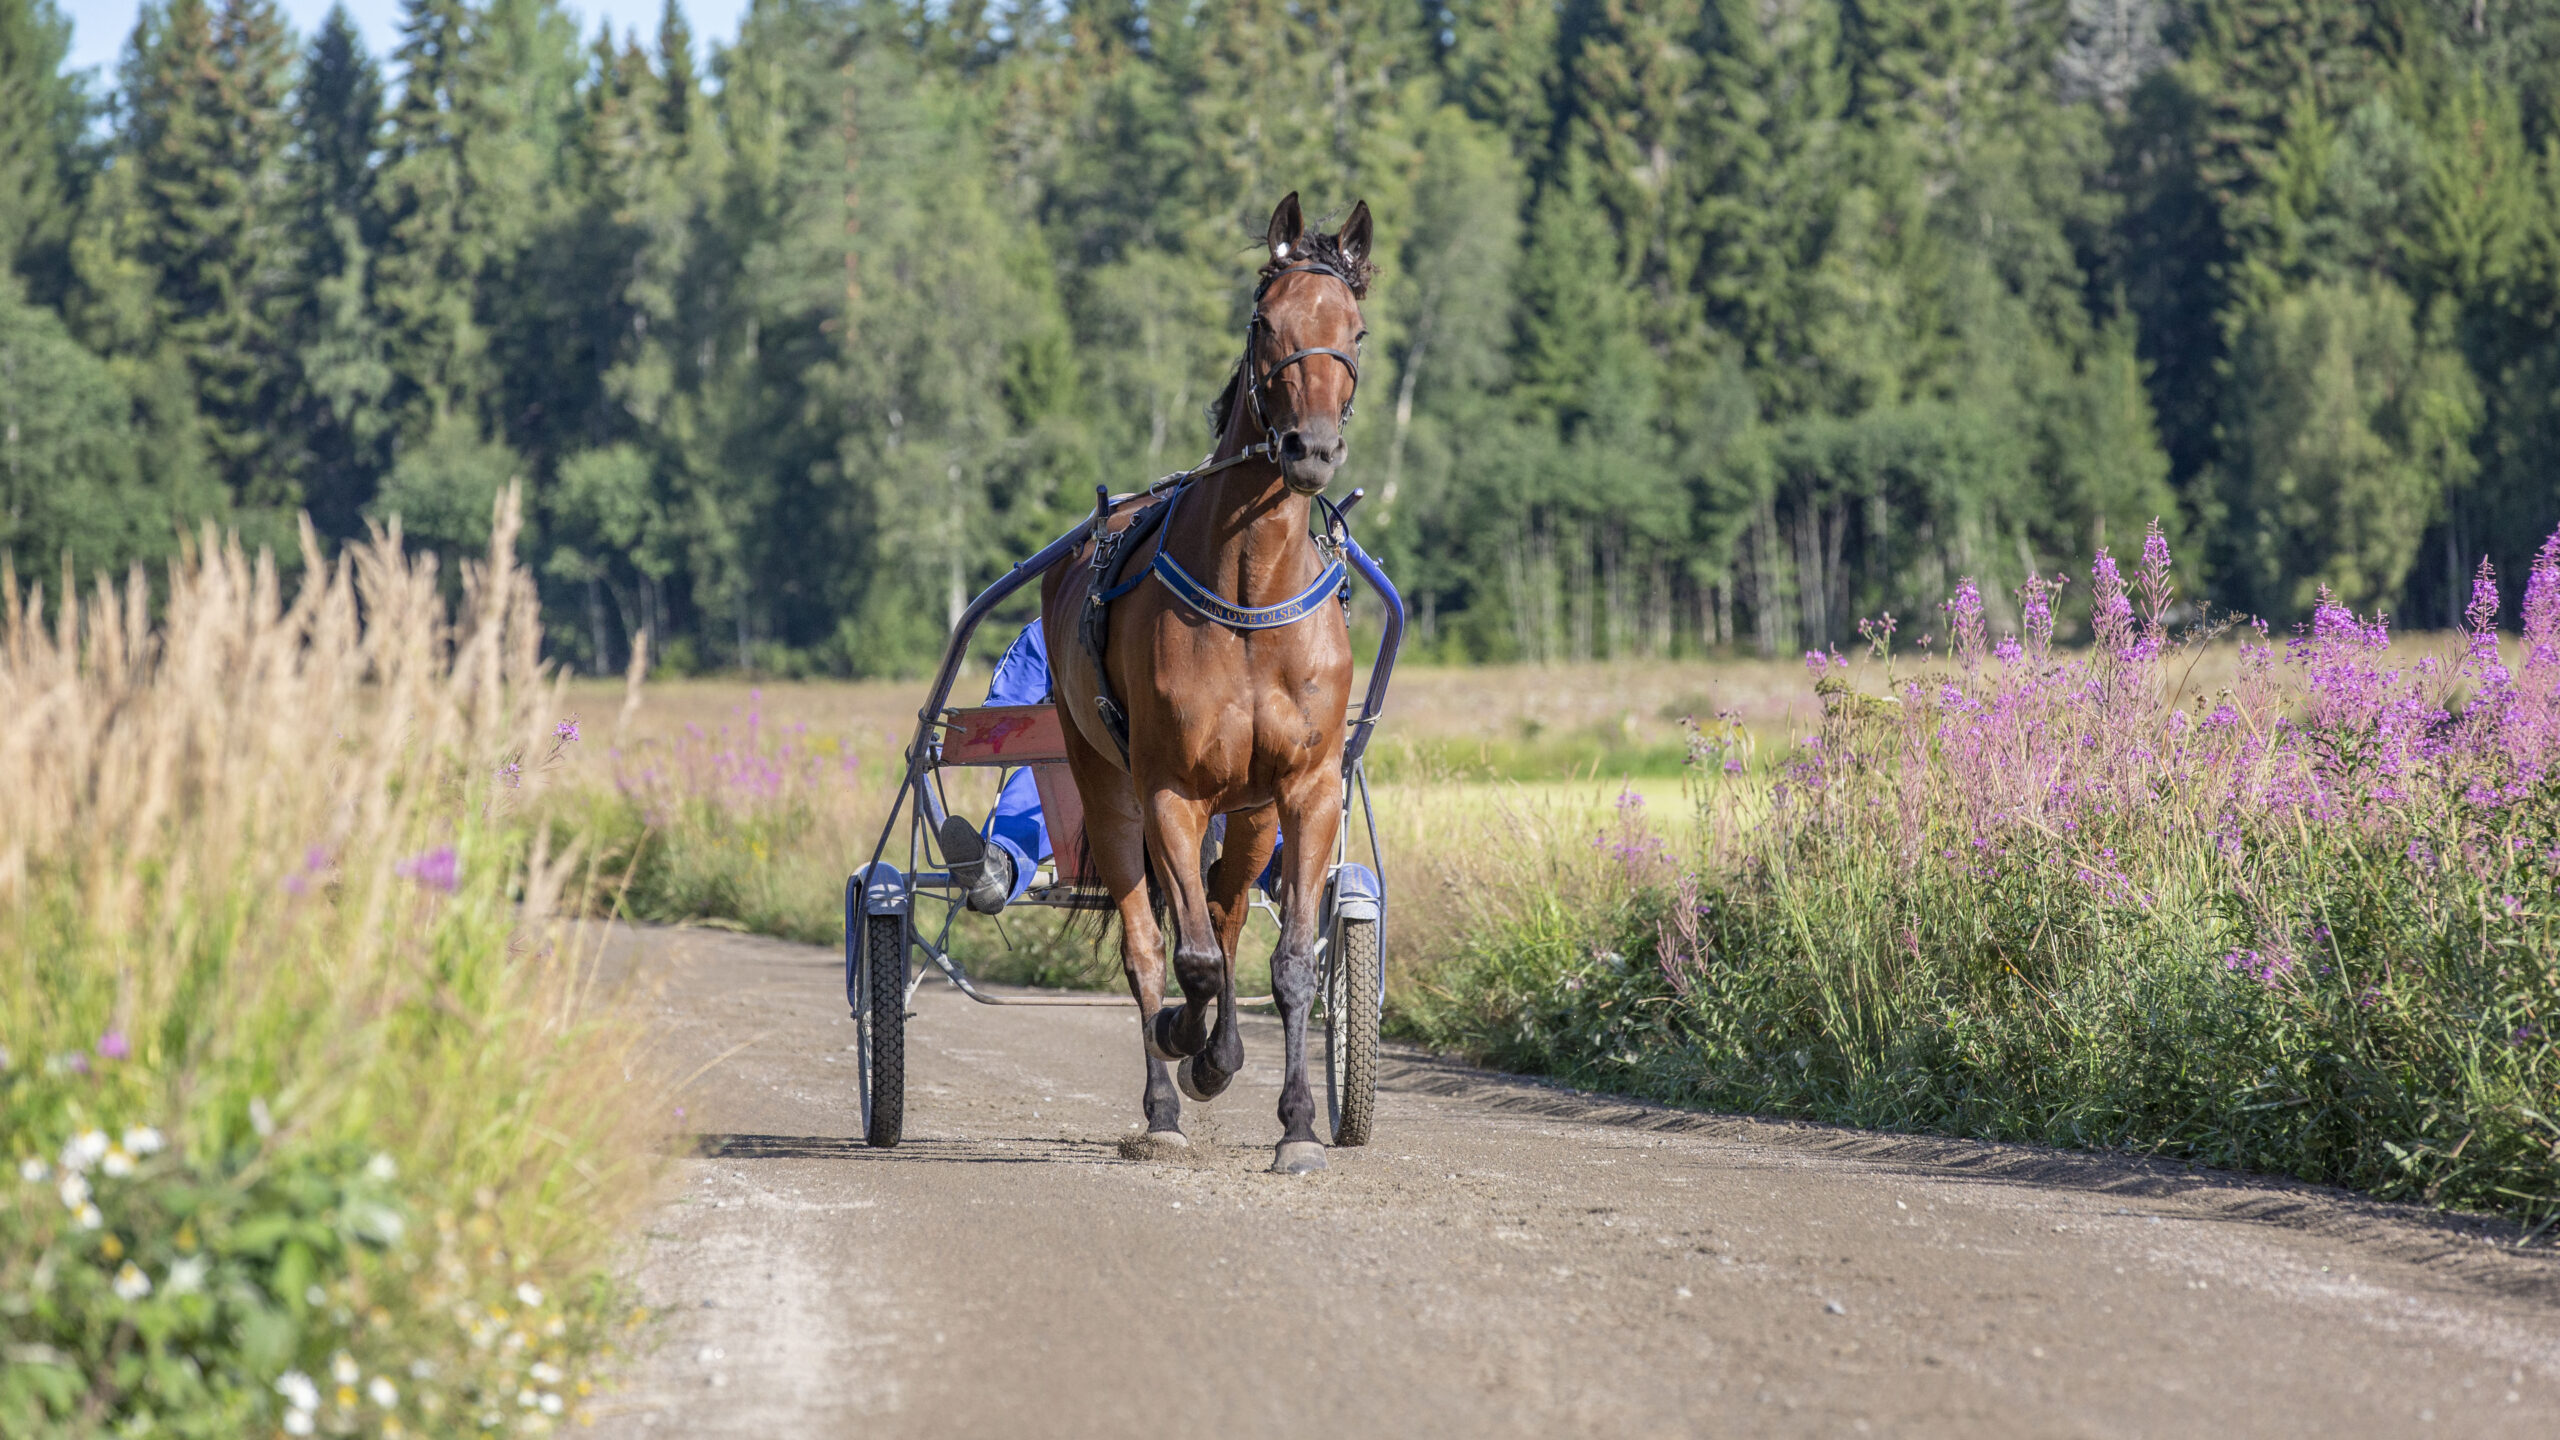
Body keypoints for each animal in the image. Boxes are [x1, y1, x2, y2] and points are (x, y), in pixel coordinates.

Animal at [1039, 190, 1372, 1173]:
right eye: (1266, 323)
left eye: (1355, 329)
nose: (1310, 449)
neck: (1250, 590)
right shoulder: (1170, 789)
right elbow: (1181, 958)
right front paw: (1188, 1045)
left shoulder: (1306, 788)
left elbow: (1287, 959)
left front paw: (1297, 1124)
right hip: (1104, 780)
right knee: (1152, 942)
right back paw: (1164, 1098)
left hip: (1254, 810)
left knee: (1223, 915)